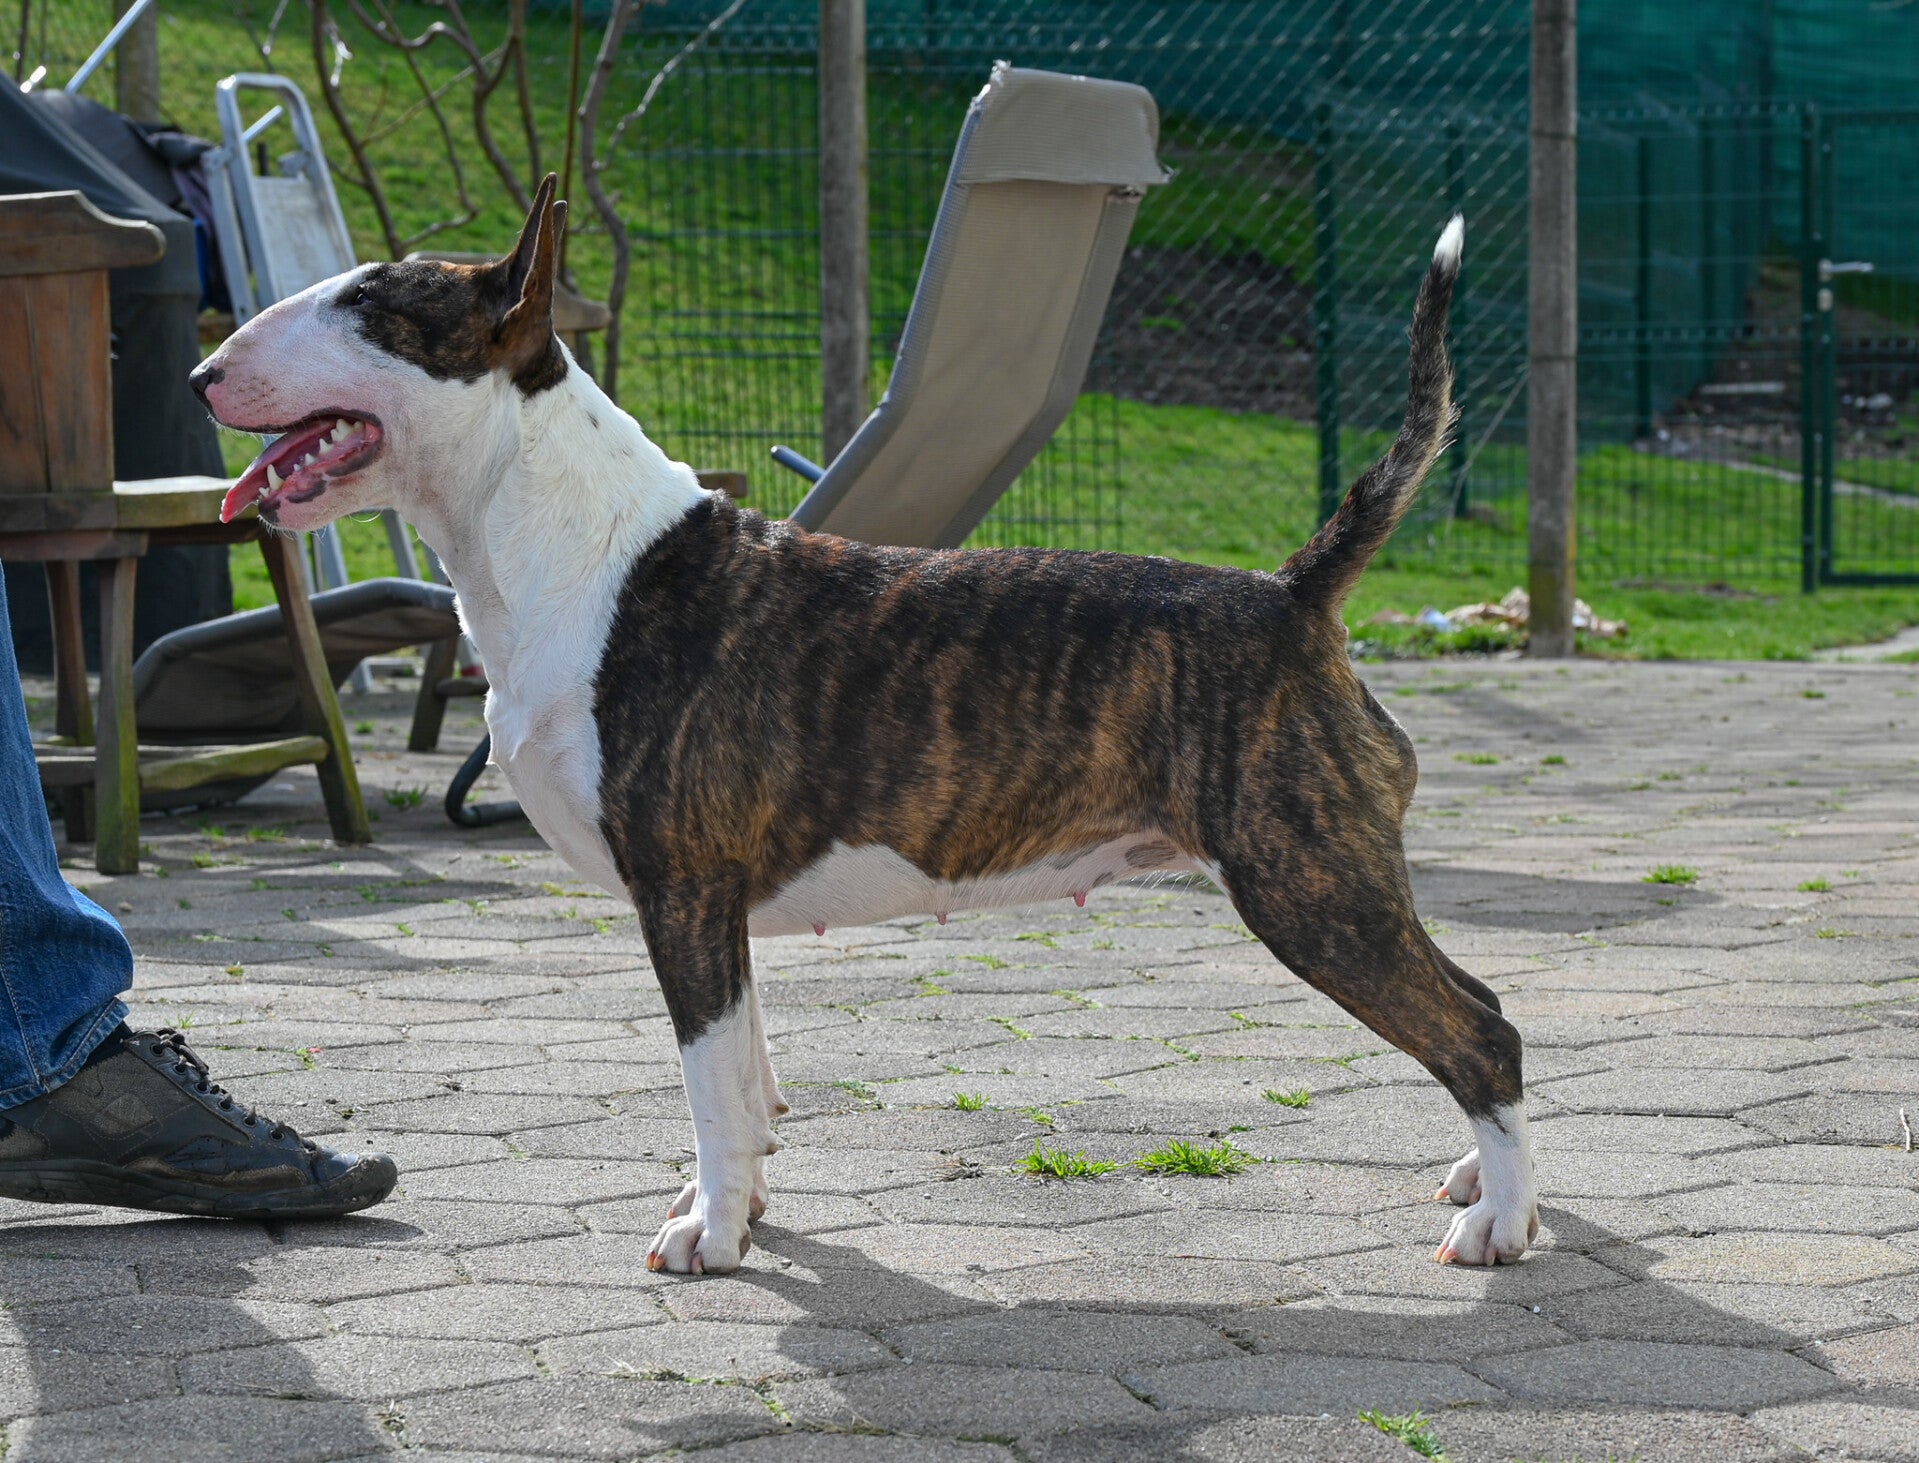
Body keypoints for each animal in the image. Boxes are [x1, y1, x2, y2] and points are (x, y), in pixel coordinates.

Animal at [192, 176, 1536, 1275]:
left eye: (369, 308)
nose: (205, 377)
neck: (569, 545)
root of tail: (1292, 592)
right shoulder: (719, 903)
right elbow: (745, 1077)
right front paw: (736, 1206)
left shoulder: (681, 884)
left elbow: (708, 1081)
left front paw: (708, 1235)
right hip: (1326, 871)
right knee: (1471, 1003)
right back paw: (1480, 1173)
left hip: (1302, 877)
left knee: (1480, 1027)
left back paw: (1501, 1221)